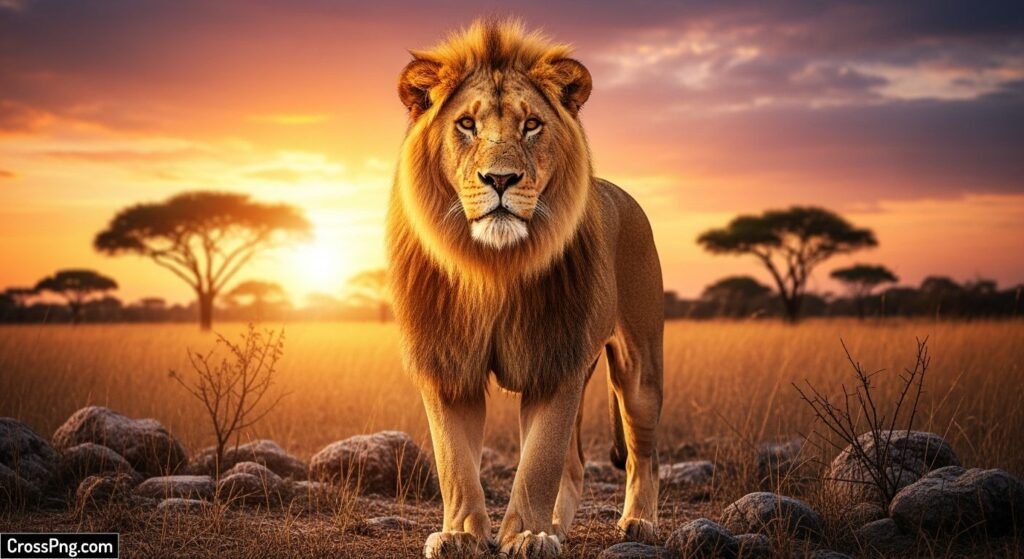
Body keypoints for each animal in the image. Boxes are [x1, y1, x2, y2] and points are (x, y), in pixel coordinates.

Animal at [386, 19, 664, 559]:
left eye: (532, 124)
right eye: (466, 124)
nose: (500, 179)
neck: (494, 267)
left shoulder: (555, 360)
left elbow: (539, 462)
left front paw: (527, 537)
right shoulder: (448, 362)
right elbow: (455, 463)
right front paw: (461, 535)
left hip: (639, 364)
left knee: (643, 451)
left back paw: (638, 523)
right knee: (576, 463)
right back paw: (558, 525)